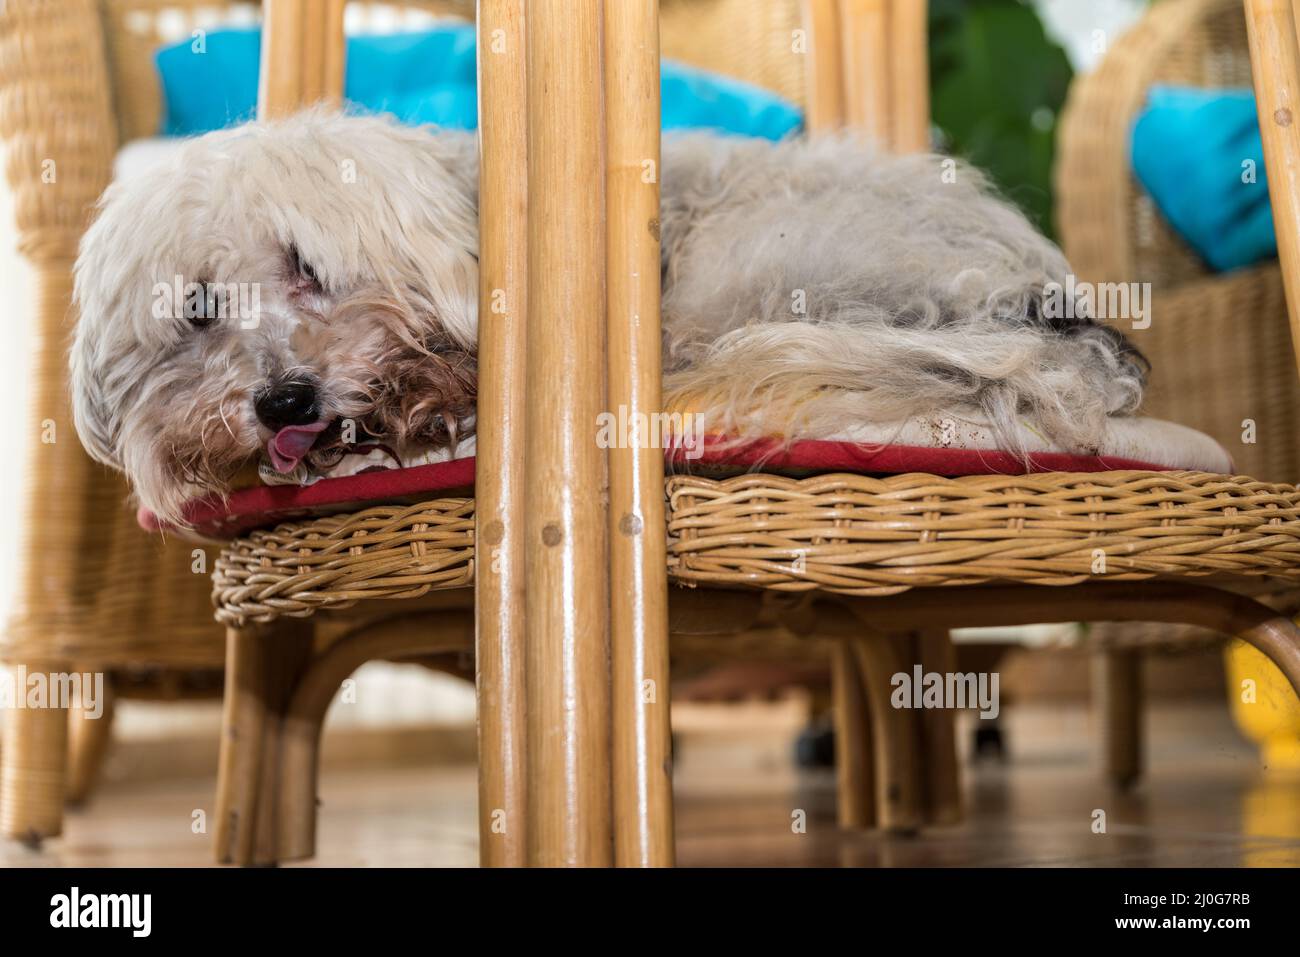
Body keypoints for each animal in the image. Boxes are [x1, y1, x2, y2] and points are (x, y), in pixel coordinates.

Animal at [73, 110, 1149, 522]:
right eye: (198, 309)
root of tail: (1042, 309)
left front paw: (425, 400)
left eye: (307, 265)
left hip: (743, 255)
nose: (284, 401)